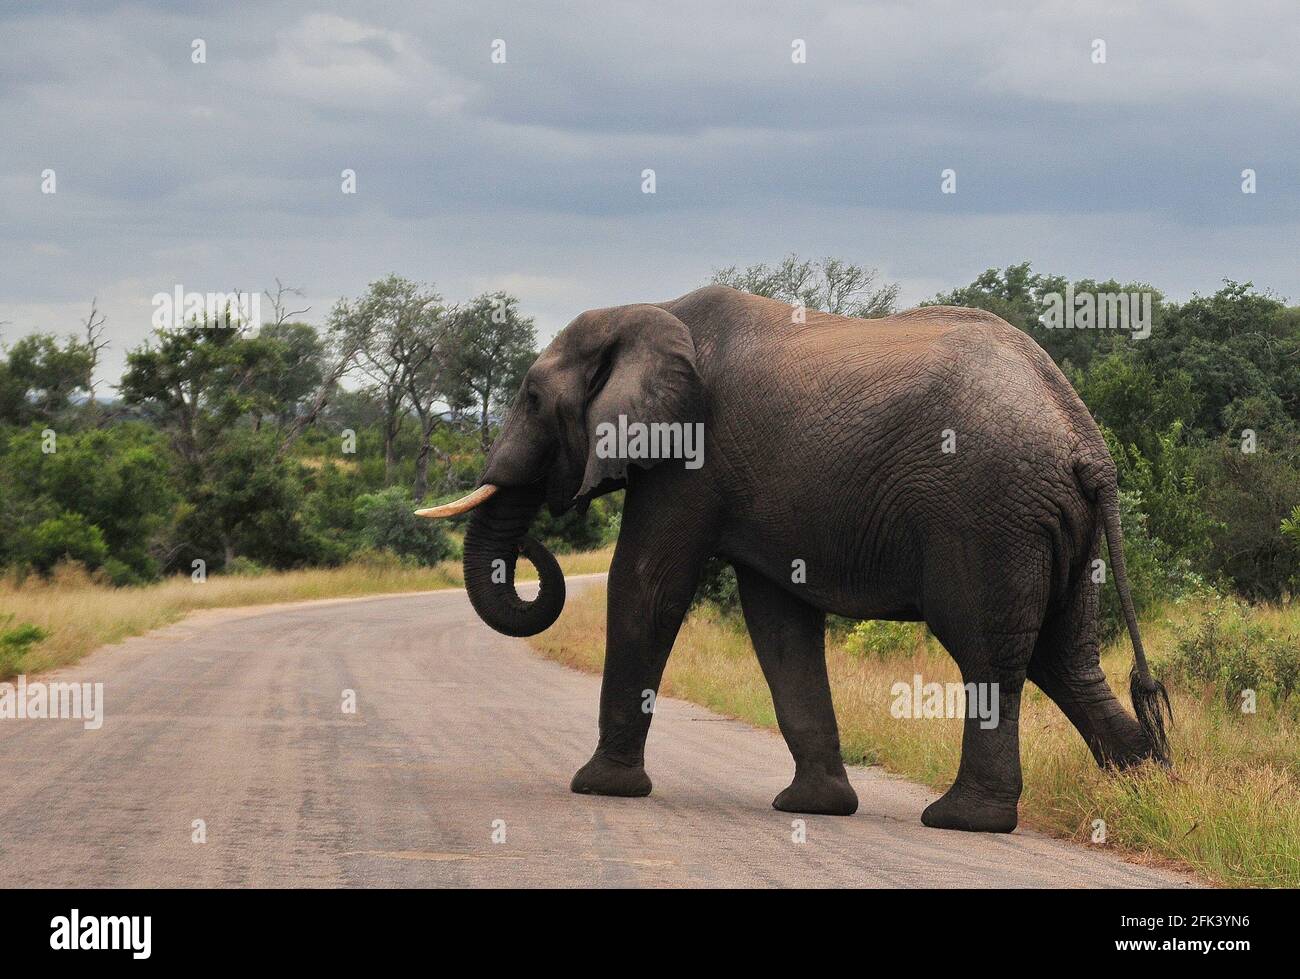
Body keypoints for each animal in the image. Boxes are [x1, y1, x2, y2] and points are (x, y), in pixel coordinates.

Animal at [421, 284, 1175, 832]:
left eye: (531, 398)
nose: (535, 539)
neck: (649, 309)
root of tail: (1086, 442)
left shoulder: (690, 458)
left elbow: (646, 585)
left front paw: (600, 787)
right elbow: (777, 622)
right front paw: (816, 808)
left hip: (986, 513)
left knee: (989, 652)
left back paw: (964, 821)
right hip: (1055, 526)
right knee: (1064, 655)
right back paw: (1148, 788)